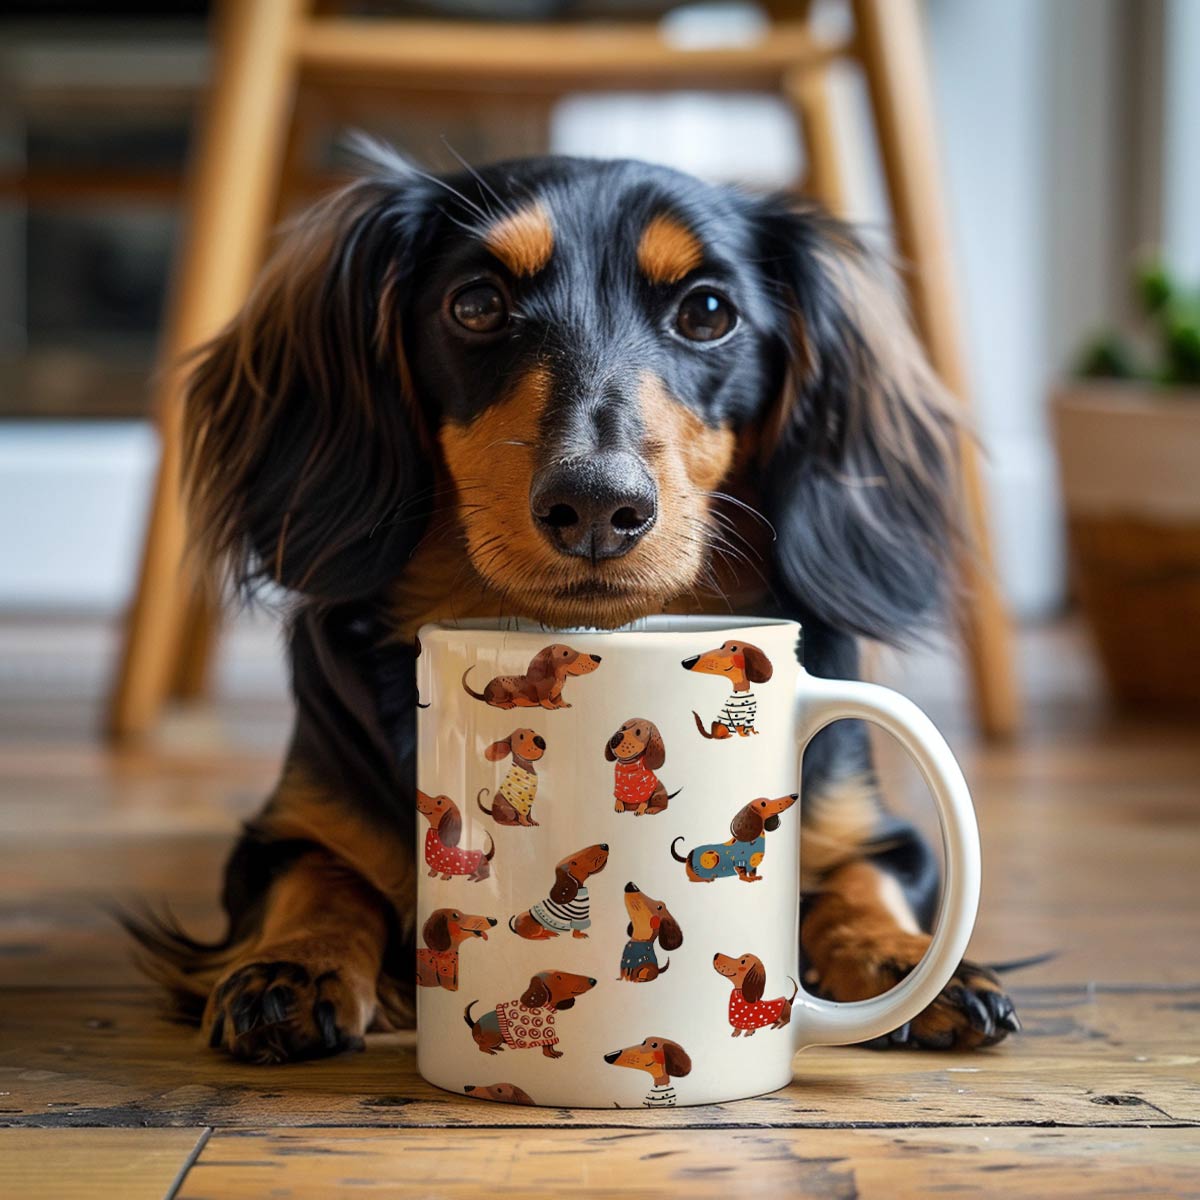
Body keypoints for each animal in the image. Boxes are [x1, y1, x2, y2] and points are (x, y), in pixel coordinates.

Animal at [463, 643, 604, 705]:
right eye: (565, 653)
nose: (597, 657)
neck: (558, 679)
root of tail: (485, 691)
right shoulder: (543, 694)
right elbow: (546, 700)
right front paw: (551, 706)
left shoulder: (558, 694)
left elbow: (559, 699)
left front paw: (564, 704)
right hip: (502, 694)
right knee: (492, 702)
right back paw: (508, 705)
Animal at [463, 969, 595, 1056]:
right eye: (558, 977)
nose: (593, 980)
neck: (546, 1007)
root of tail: (475, 1025)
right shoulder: (546, 1033)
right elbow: (547, 1047)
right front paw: (550, 1055)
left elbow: (551, 1046)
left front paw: (555, 1053)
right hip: (496, 1038)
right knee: (481, 1047)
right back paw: (491, 1051)